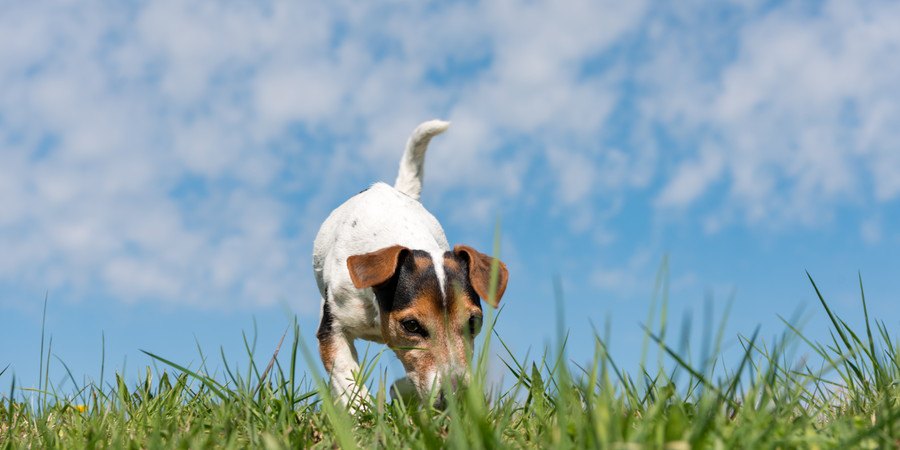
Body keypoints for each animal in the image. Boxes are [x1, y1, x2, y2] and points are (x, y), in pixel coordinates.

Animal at [312, 119, 506, 408]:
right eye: (411, 326)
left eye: (473, 322)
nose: (455, 399)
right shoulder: (332, 329)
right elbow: (348, 380)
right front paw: (362, 412)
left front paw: (400, 393)